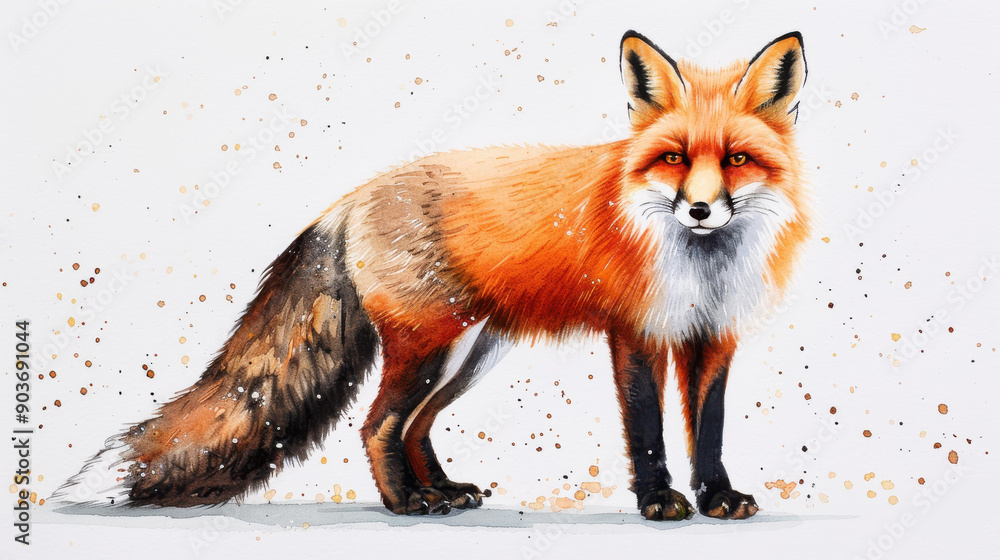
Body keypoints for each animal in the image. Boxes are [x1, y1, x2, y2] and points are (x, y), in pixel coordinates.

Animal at [56, 30, 810, 521]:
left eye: (737, 158)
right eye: (675, 157)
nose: (702, 208)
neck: (700, 265)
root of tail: (351, 198)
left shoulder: (714, 336)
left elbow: (709, 428)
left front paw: (716, 497)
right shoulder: (636, 332)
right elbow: (649, 429)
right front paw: (658, 500)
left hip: (468, 353)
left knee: (413, 427)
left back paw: (443, 492)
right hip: (430, 346)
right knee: (376, 426)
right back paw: (406, 504)